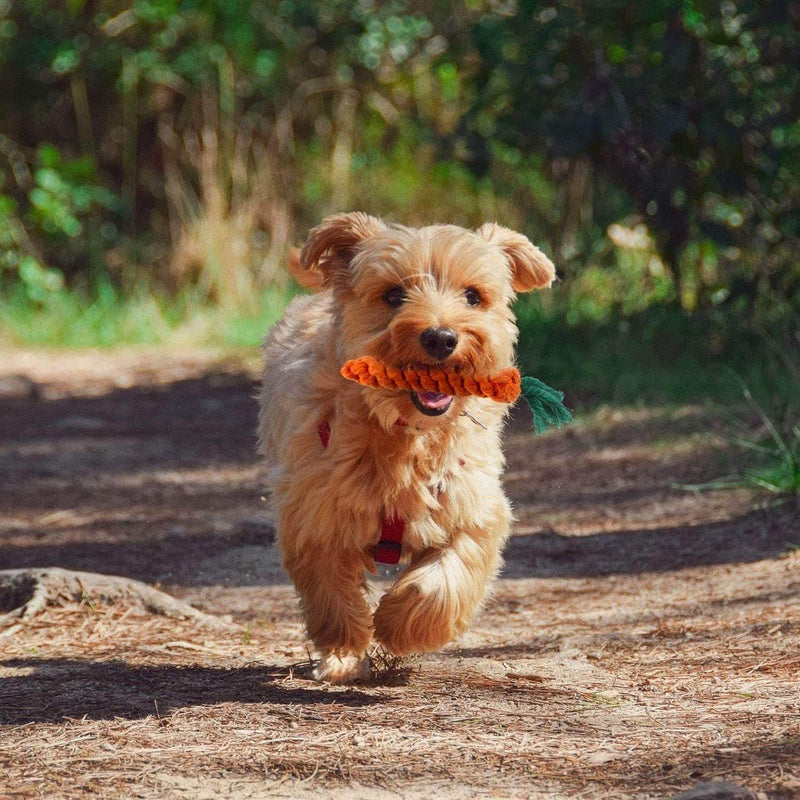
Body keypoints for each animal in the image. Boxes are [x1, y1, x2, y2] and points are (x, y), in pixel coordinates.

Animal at [260, 212, 552, 680]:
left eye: (473, 296)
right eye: (393, 295)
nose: (441, 337)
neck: (406, 436)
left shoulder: (473, 507)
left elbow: (445, 578)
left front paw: (399, 625)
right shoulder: (315, 513)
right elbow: (332, 591)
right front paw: (345, 650)